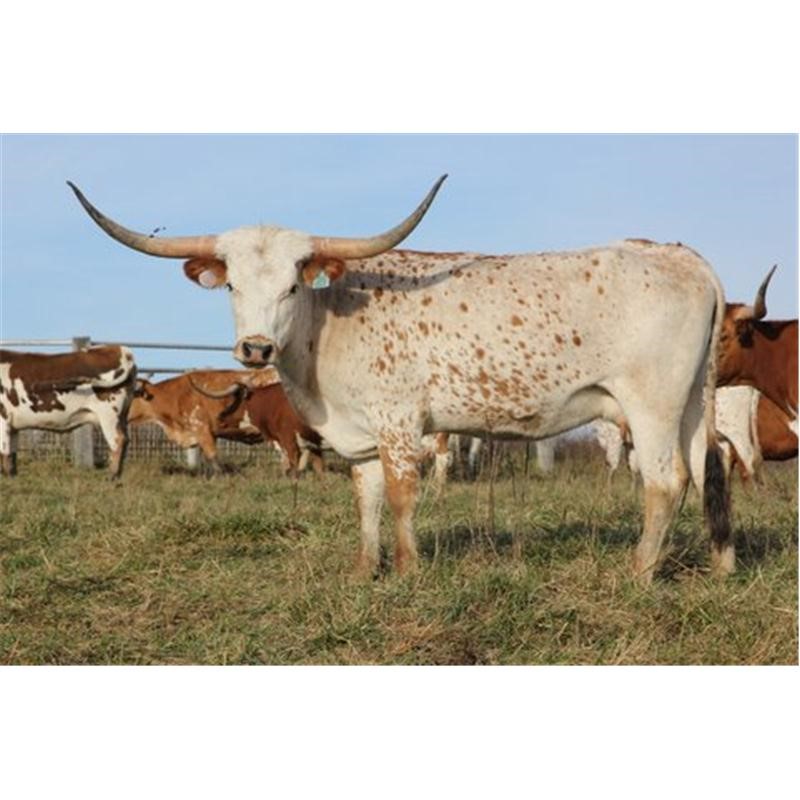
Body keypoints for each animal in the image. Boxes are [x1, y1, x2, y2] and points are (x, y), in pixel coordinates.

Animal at [0, 346, 136, 478]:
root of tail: (118, 349)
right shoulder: (12, 426)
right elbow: (12, 452)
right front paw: (12, 476)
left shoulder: (3, 417)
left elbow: (4, 449)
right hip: (122, 416)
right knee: (126, 440)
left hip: (108, 415)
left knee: (118, 440)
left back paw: (112, 476)